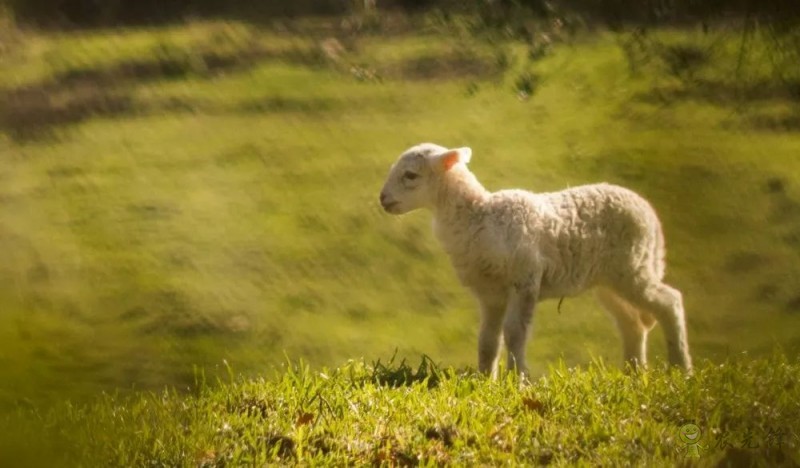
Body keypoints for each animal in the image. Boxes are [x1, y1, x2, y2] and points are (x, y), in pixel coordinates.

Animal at [378, 143, 692, 376]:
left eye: (410, 175)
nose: (382, 199)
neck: (478, 215)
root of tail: (649, 212)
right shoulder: (490, 292)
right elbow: (487, 340)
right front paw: (485, 380)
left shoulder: (525, 278)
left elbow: (515, 333)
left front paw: (517, 380)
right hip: (609, 279)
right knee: (632, 323)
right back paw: (633, 374)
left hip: (633, 266)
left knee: (670, 301)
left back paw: (680, 368)